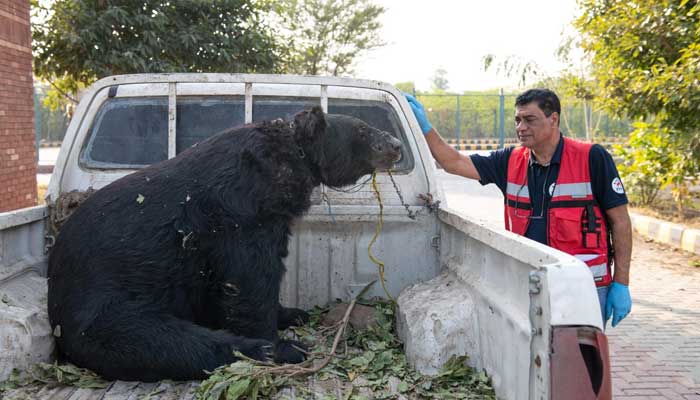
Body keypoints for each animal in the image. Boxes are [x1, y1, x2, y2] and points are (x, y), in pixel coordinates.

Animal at [46, 108, 402, 382]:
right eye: (363, 130)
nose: (396, 145)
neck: (288, 160)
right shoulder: (238, 213)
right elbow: (249, 279)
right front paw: (274, 335)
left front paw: (292, 312)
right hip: (104, 307)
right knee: (170, 342)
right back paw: (277, 350)